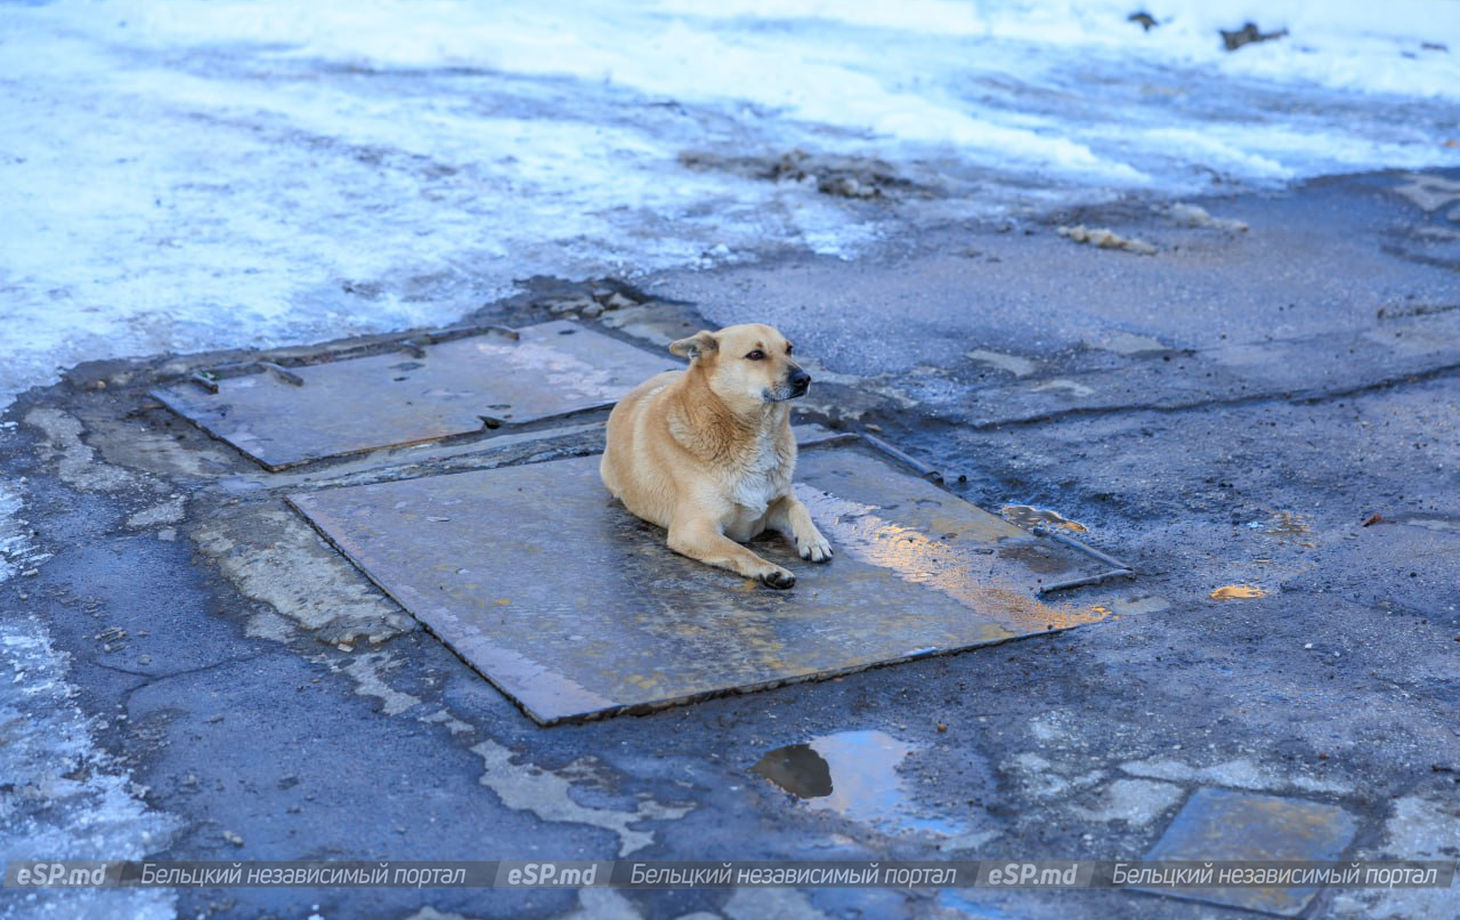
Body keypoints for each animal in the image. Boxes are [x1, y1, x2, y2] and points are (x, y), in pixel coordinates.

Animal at [601, 324, 835, 589]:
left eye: (789, 349)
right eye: (756, 355)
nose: (804, 378)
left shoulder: (776, 502)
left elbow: (798, 506)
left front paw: (814, 540)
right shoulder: (693, 529)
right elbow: (740, 551)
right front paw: (770, 570)